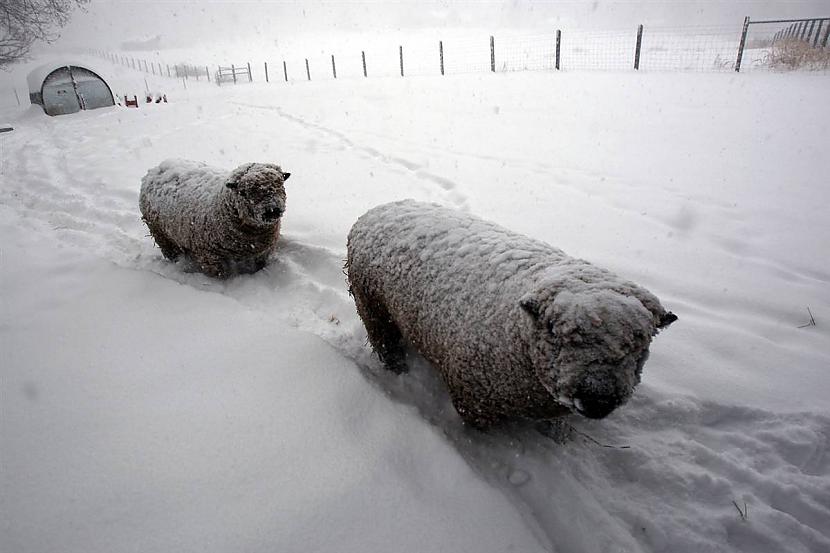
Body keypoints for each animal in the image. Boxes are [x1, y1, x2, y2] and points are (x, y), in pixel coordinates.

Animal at [140, 157, 290, 278]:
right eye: (243, 192)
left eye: (281, 184)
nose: (272, 211)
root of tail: (157, 167)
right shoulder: (208, 255)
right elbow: (220, 275)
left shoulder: (265, 251)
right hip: (160, 234)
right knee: (171, 253)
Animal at [344, 199, 676, 426]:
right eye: (555, 331)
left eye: (640, 344)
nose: (597, 400)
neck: (517, 330)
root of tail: (382, 206)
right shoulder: (473, 403)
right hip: (373, 307)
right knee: (385, 344)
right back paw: (397, 369)